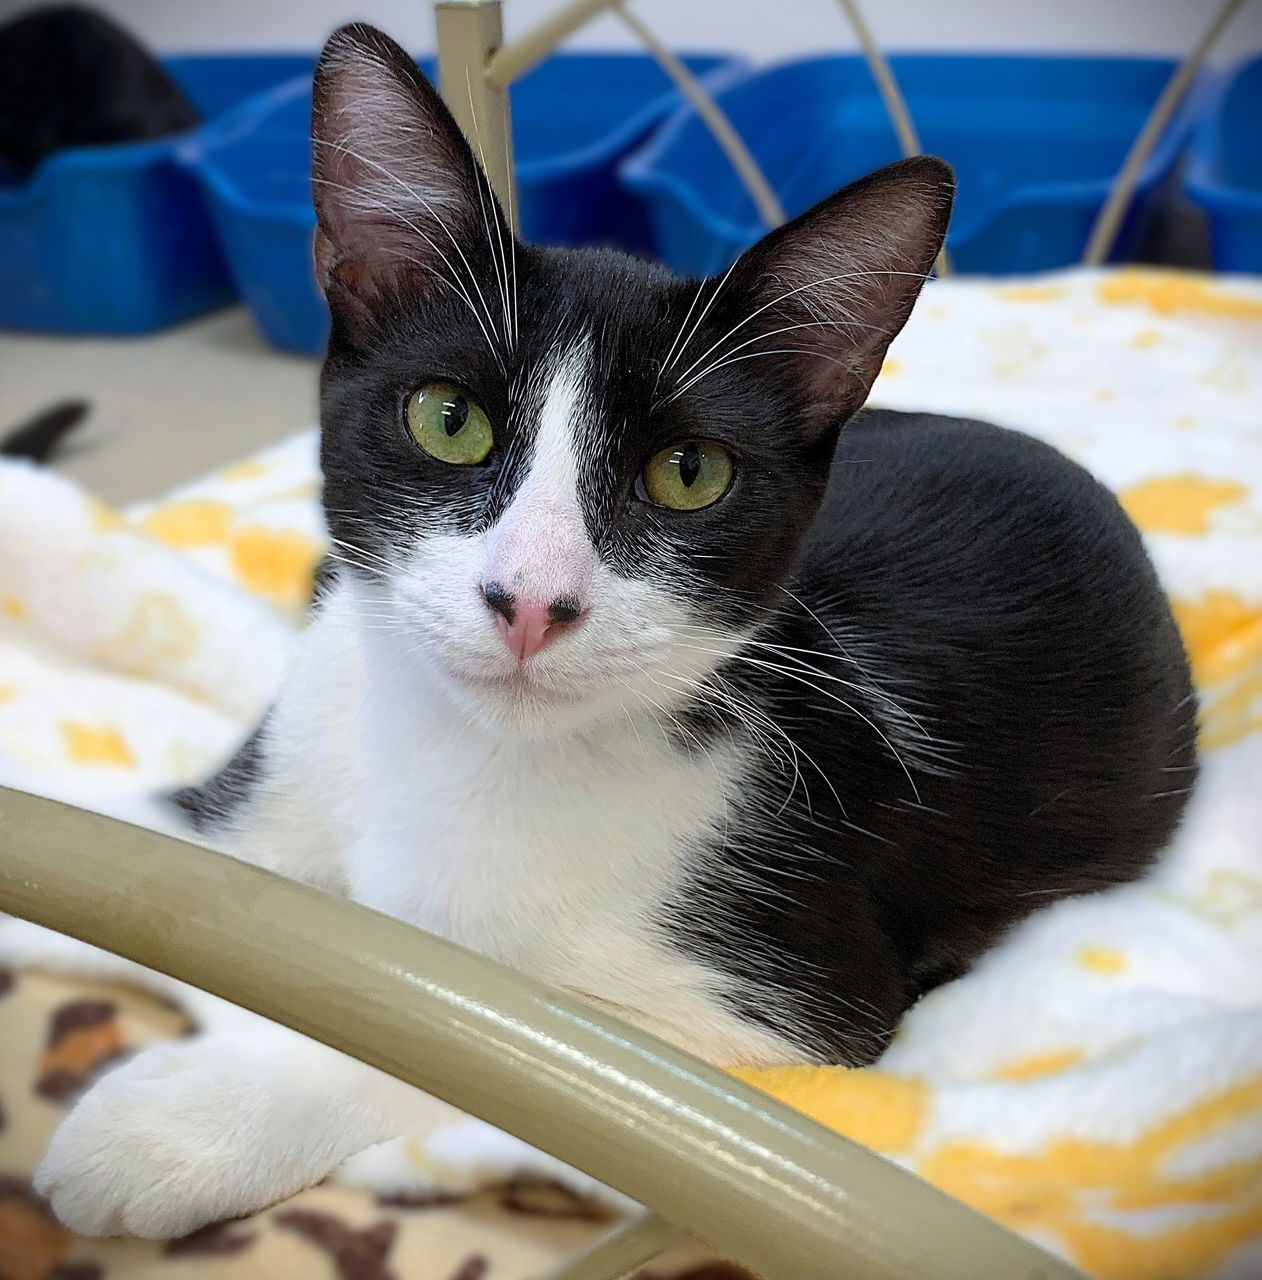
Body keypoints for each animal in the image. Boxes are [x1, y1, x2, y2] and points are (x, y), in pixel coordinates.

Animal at [19, 20, 1198, 1239]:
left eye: (689, 474)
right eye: (449, 419)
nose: (531, 600)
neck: (454, 747)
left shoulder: (785, 1006)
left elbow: (504, 1043)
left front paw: (183, 1122)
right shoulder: (263, 796)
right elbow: (141, 840)